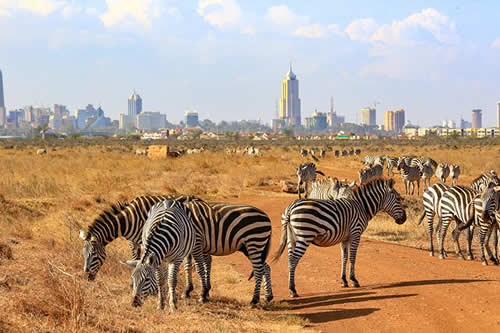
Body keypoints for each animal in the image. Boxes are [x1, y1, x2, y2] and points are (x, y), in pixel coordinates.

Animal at [274, 176, 406, 296]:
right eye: (398, 198)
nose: (404, 219)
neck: (361, 207)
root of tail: (291, 208)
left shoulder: (345, 238)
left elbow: (344, 258)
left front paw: (344, 281)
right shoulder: (355, 233)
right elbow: (352, 257)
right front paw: (353, 280)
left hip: (291, 238)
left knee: (289, 259)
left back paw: (291, 288)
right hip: (304, 236)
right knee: (293, 259)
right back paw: (293, 290)